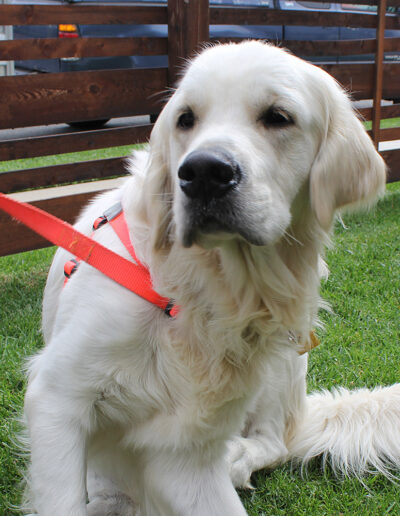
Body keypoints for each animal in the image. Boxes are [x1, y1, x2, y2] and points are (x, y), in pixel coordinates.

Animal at [24, 41, 400, 516]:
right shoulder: (57, 398)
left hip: (283, 360)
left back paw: (238, 455)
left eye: (278, 116)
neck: (196, 292)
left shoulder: (187, 448)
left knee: (275, 441)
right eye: (186, 119)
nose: (202, 172)